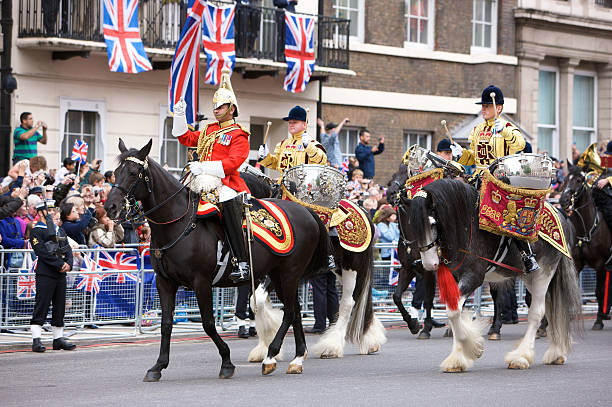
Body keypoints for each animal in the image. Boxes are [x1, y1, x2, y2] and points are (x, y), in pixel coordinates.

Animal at [106, 141, 334, 380]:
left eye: (133, 173)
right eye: (116, 172)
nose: (110, 206)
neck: (177, 223)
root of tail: (307, 211)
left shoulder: (201, 282)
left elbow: (208, 323)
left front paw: (226, 361)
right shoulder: (165, 282)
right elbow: (166, 323)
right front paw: (158, 366)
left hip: (289, 274)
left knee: (290, 311)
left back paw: (271, 356)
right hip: (278, 275)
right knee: (295, 311)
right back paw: (297, 359)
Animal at [240, 172, 388, 360]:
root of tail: (364, 211)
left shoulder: (281, 272)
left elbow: (259, 300)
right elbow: (257, 302)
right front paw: (264, 346)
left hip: (353, 267)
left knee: (348, 303)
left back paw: (331, 346)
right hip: (340, 269)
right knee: (364, 299)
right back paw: (370, 340)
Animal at [400, 178, 580, 372]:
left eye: (433, 223)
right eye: (412, 225)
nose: (428, 264)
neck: (464, 226)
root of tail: (561, 216)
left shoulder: (473, 277)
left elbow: (453, 312)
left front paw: (473, 348)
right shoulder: (455, 278)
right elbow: (454, 313)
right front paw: (458, 358)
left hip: (544, 273)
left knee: (537, 312)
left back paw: (521, 357)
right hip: (531, 277)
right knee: (550, 308)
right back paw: (556, 353)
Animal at [560, 163, 612, 332]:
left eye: (579, 180)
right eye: (565, 179)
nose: (563, 200)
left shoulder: (601, 265)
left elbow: (599, 292)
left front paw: (598, 321)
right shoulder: (576, 264)